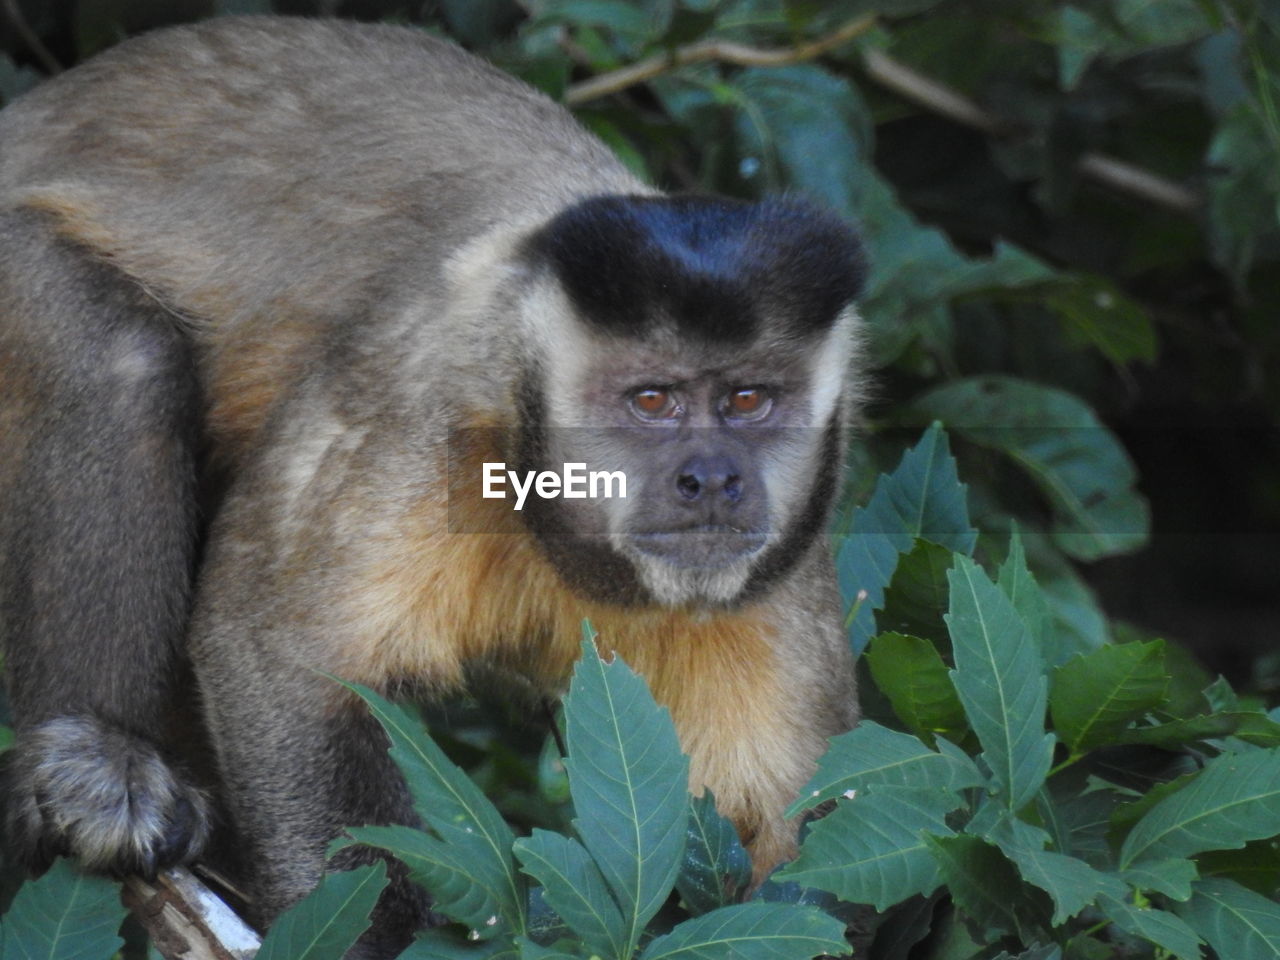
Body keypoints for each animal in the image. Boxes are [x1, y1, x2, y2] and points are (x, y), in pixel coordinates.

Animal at [0, 15, 865, 960]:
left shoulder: (788, 561)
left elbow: (810, 864)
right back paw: (102, 762)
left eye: (749, 400)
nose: (712, 479)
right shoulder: (431, 390)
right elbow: (278, 655)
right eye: (652, 401)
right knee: (119, 354)